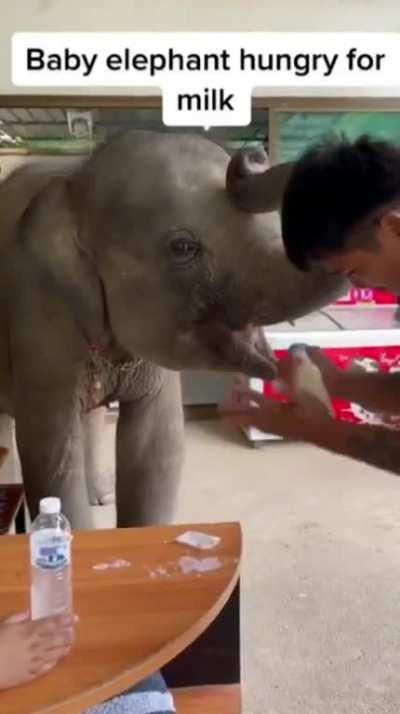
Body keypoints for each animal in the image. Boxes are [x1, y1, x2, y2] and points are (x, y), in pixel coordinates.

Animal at [0, 129, 345, 529]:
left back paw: (100, 496)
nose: (255, 154)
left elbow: (155, 449)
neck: (77, 182)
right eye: (182, 248)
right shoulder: (38, 313)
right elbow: (51, 454)